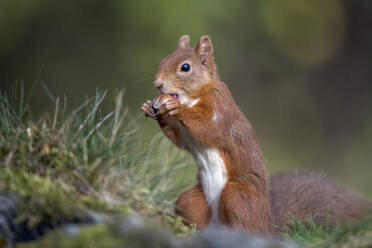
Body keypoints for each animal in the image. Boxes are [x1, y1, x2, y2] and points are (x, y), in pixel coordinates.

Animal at [140, 35, 372, 232]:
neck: (193, 97)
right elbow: (178, 138)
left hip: (237, 197)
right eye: (162, 60)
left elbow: (211, 129)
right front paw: (151, 108)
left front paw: (176, 108)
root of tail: (268, 226)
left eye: (185, 67)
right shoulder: (185, 136)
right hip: (192, 201)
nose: (157, 83)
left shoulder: (221, 107)